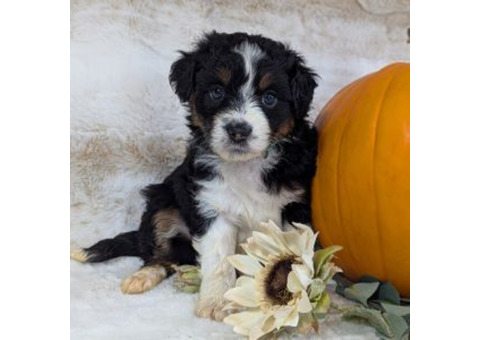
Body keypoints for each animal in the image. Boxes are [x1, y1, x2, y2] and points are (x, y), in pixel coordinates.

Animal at [70, 31, 318, 322]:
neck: (245, 165)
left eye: (269, 98)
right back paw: (142, 277)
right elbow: (219, 259)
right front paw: (216, 302)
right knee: (162, 256)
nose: (238, 130)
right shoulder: (211, 206)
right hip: (162, 203)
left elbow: (295, 252)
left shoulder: (295, 205)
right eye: (216, 92)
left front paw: (296, 292)